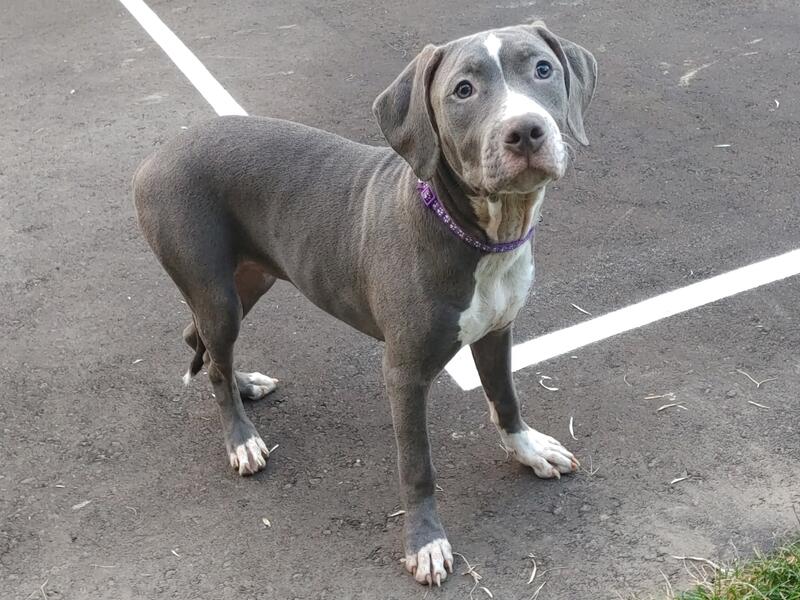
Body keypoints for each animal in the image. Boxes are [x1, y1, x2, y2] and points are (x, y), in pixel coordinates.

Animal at [133, 21, 597, 586]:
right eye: (463, 90)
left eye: (543, 69)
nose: (525, 130)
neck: (478, 235)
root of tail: (156, 156)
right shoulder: (404, 373)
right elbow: (417, 465)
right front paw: (425, 543)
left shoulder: (496, 332)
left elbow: (506, 398)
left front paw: (529, 451)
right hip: (215, 289)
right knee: (214, 361)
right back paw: (241, 438)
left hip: (249, 278)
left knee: (200, 340)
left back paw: (246, 385)